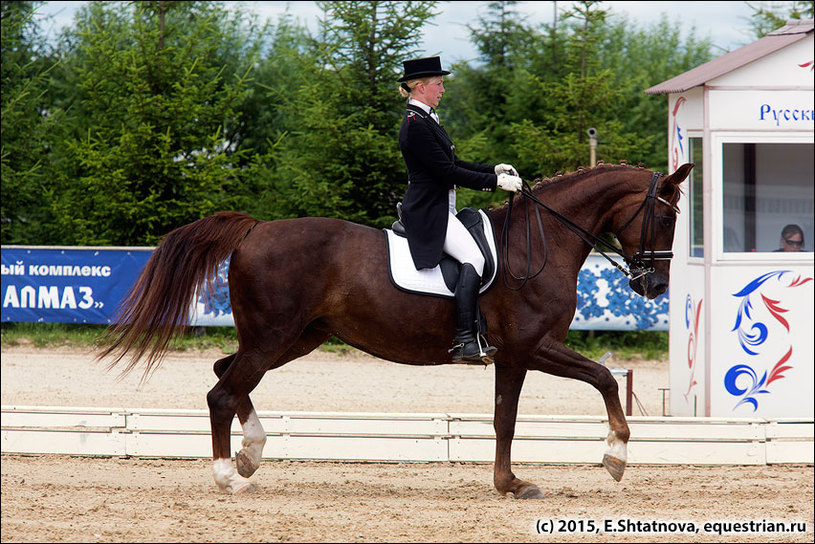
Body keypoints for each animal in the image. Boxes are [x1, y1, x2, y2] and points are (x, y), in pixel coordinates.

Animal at [97, 162, 696, 498]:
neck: (540, 242)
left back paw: (250, 453)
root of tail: (255, 229)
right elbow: (605, 379)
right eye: (667, 217)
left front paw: (509, 484)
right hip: (273, 338)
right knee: (222, 391)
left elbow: (505, 420)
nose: (655, 286)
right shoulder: (532, 347)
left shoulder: (512, 356)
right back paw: (227, 475)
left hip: (293, 338)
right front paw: (615, 458)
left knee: (228, 374)